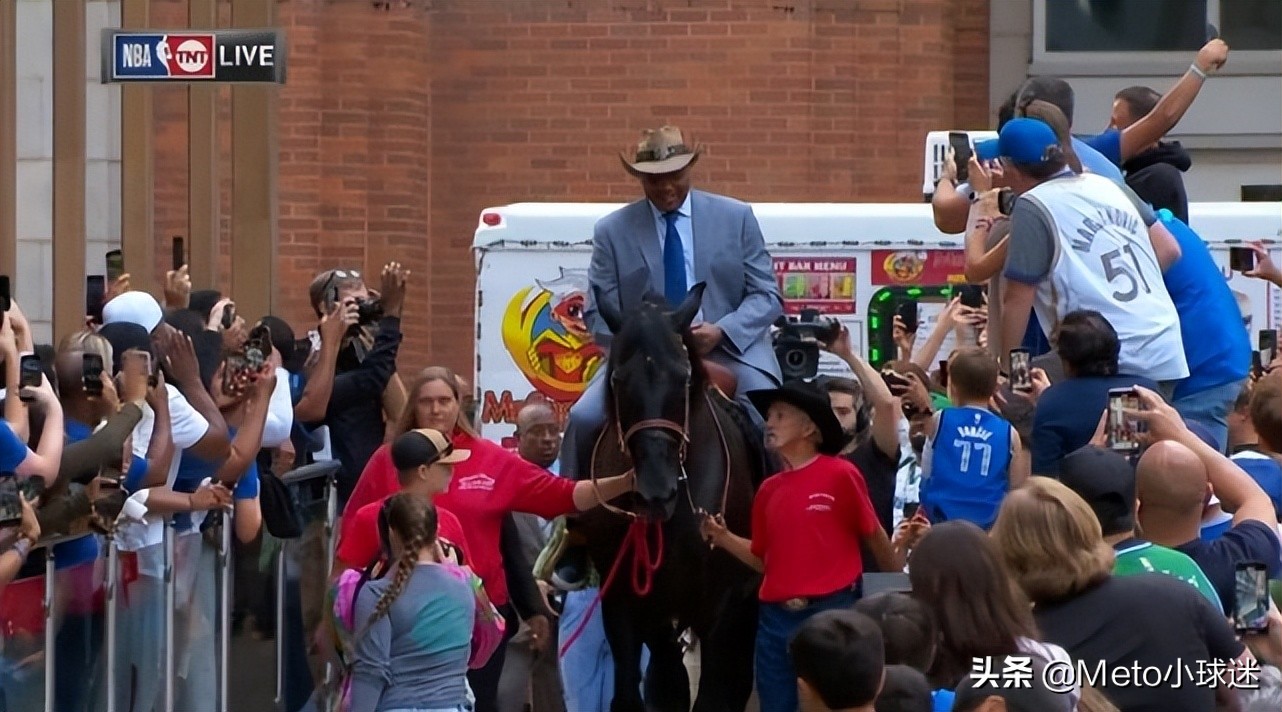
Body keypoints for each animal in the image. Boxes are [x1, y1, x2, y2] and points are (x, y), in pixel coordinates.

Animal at [576, 284, 764, 712]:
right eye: (618, 378)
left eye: (683, 377)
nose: (656, 491)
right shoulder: (629, 603)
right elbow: (647, 692)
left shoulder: (723, 607)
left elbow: (712, 697)